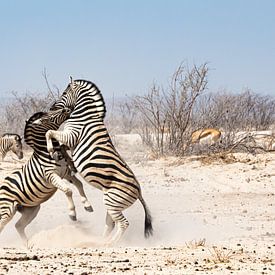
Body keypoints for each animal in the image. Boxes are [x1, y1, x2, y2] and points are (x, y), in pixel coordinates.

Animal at [0, 108, 94, 246]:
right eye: (46, 118)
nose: (67, 110)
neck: (46, 153)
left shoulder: (65, 173)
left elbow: (79, 184)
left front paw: (87, 205)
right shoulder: (51, 175)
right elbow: (68, 190)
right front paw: (72, 213)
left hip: (31, 209)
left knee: (19, 226)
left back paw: (27, 245)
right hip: (7, 210)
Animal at [44, 78, 153, 246]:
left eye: (64, 93)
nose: (51, 107)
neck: (84, 115)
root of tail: (139, 191)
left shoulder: (72, 136)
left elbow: (49, 133)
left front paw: (51, 149)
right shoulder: (70, 140)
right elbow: (60, 145)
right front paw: (67, 160)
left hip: (113, 202)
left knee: (123, 224)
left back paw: (110, 244)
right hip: (112, 203)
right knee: (111, 224)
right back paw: (99, 241)